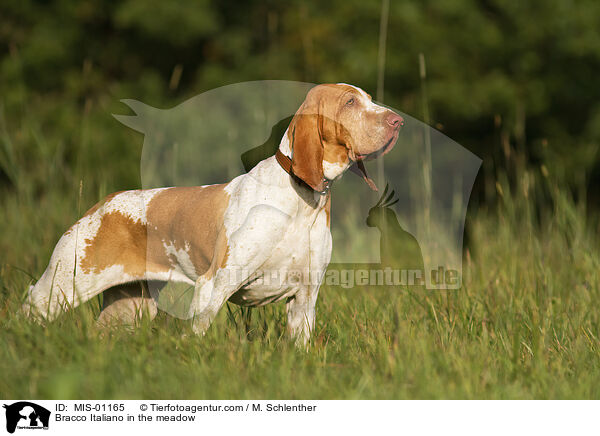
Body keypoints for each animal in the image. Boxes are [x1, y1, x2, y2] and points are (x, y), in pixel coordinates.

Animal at [22, 83, 404, 346]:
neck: (300, 203)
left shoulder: (304, 301)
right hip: (61, 288)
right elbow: (197, 336)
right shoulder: (213, 287)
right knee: (28, 307)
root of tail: (102, 205)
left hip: (128, 308)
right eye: (350, 102)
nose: (398, 120)